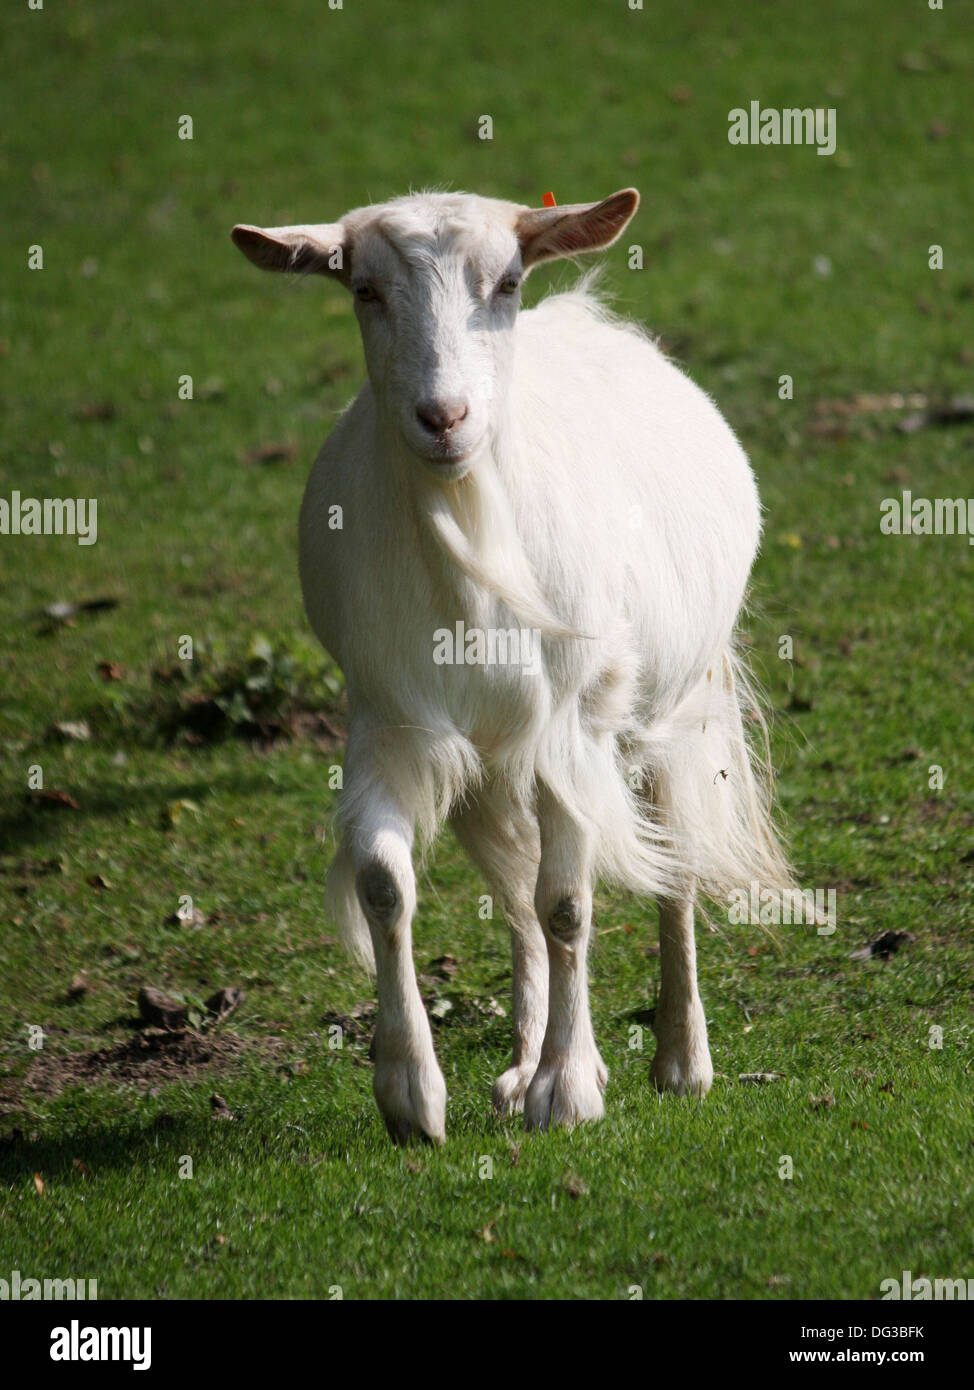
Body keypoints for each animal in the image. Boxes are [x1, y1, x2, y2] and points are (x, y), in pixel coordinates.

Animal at [231, 188, 794, 1145]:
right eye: (364, 290)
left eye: (505, 283)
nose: (444, 417)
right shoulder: (388, 718)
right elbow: (388, 884)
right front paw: (411, 1094)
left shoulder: (572, 726)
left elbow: (567, 902)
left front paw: (566, 1094)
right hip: (492, 763)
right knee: (515, 893)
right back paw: (530, 1061)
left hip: (671, 710)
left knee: (670, 860)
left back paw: (681, 1062)